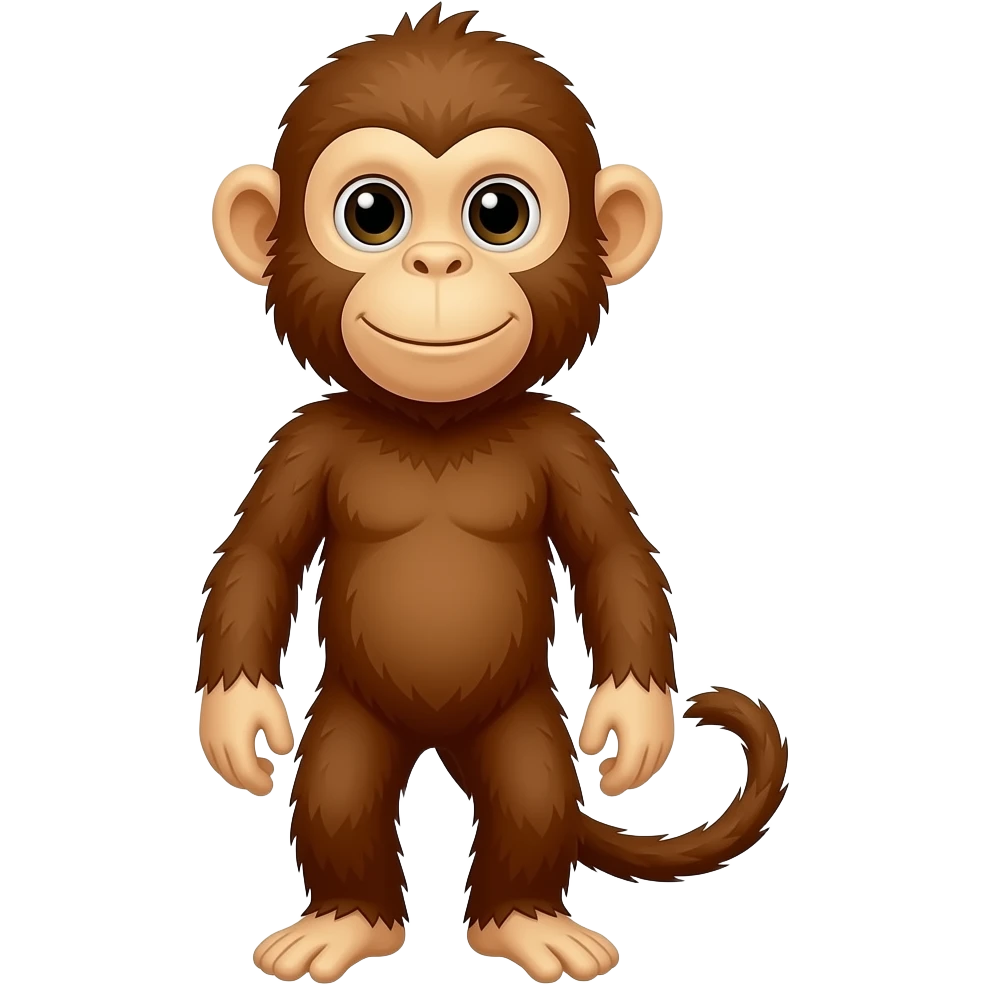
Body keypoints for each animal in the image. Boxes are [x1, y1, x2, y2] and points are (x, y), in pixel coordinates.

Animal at [196, 6, 788, 984]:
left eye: (498, 212)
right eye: (371, 212)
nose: (437, 261)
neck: (438, 423)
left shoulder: (570, 441)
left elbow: (613, 554)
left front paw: (634, 717)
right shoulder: (300, 441)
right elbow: (259, 556)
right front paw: (235, 716)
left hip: (517, 720)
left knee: (530, 792)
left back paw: (526, 921)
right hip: (353, 715)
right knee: (338, 790)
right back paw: (345, 920)